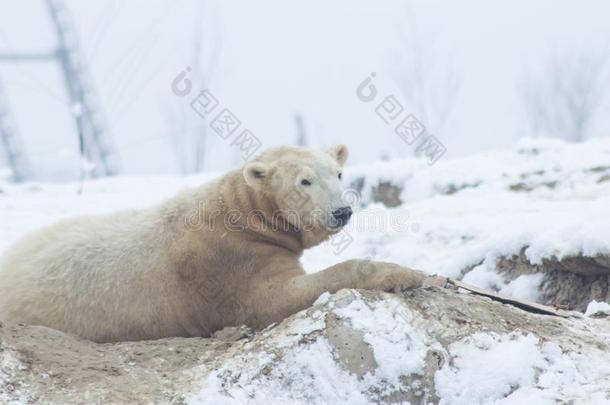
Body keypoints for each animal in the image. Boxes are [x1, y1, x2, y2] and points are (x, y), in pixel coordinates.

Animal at [0, 145, 436, 340]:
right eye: (304, 181)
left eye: (339, 173)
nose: (341, 212)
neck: (241, 211)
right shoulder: (229, 263)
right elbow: (270, 300)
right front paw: (406, 273)